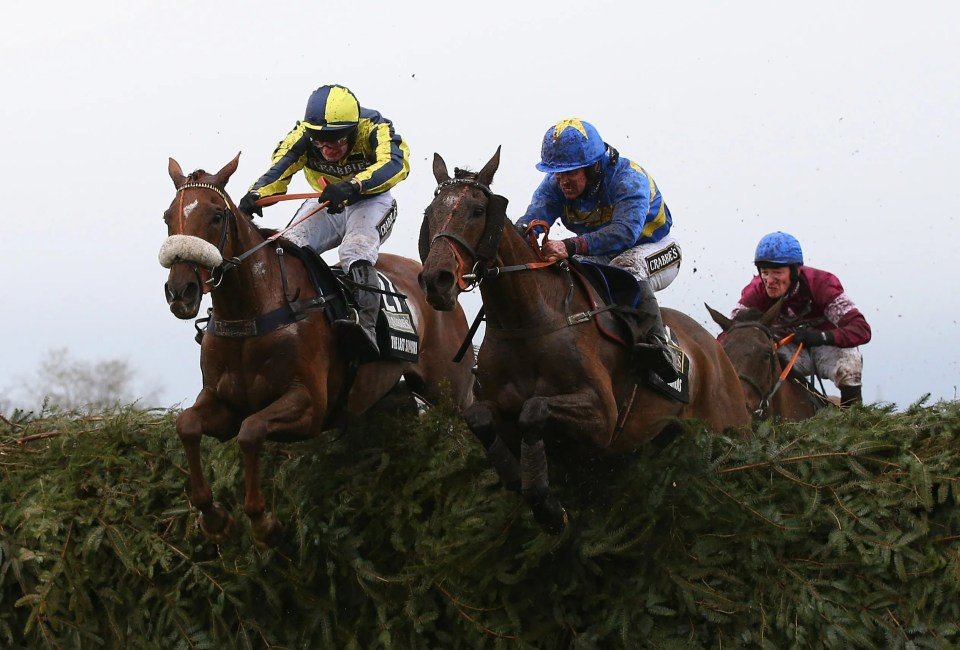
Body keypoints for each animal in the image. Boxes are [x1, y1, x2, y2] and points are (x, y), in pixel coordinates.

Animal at [161, 154, 476, 544]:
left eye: (217, 215)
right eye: (168, 216)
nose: (181, 291)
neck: (253, 311)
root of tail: (432, 282)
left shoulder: (309, 406)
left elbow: (251, 432)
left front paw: (263, 521)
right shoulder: (223, 401)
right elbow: (188, 425)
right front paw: (214, 516)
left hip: (452, 390)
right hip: (392, 398)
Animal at [416, 149, 752, 536]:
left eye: (477, 210)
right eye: (430, 213)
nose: (436, 281)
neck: (528, 319)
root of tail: (716, 350)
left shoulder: (602, 415)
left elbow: (534, 409)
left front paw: (546, 504)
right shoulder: (496, 406)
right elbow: (479, 418)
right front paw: (520, 480)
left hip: (729, 424)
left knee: (632, 265)